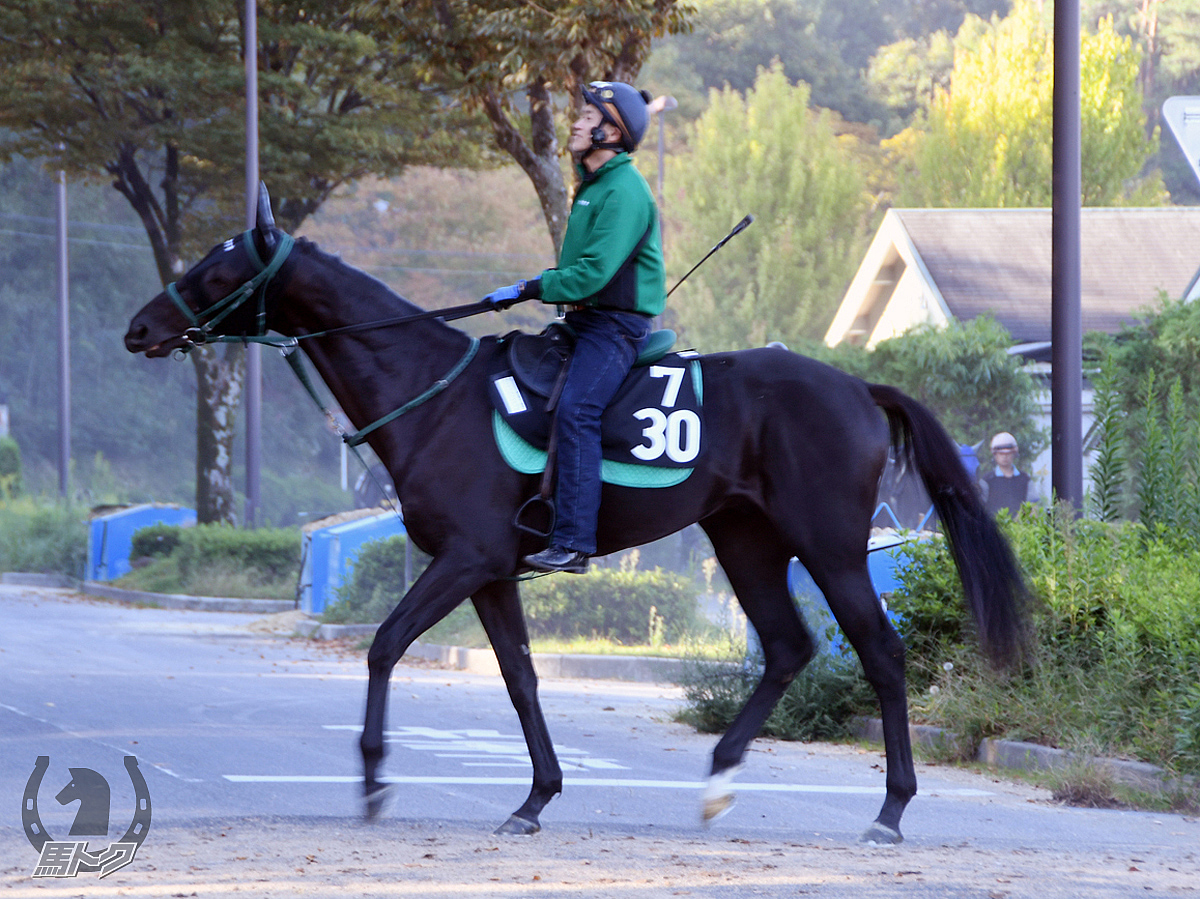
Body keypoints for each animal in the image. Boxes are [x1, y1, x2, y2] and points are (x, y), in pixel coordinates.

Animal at [121, 189, 1027, 840]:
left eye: (214, 269)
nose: (139, 326)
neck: (434, 395)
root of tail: (858, 387)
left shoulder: (463, 559)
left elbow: (384, 644)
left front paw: (376, 776)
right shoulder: (490, 573)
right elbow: (521, 679)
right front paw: (535, 796)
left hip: (832, 547)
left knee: (880, 652)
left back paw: (890, 809)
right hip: (745, 540)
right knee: (787, 646)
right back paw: (720, 779)